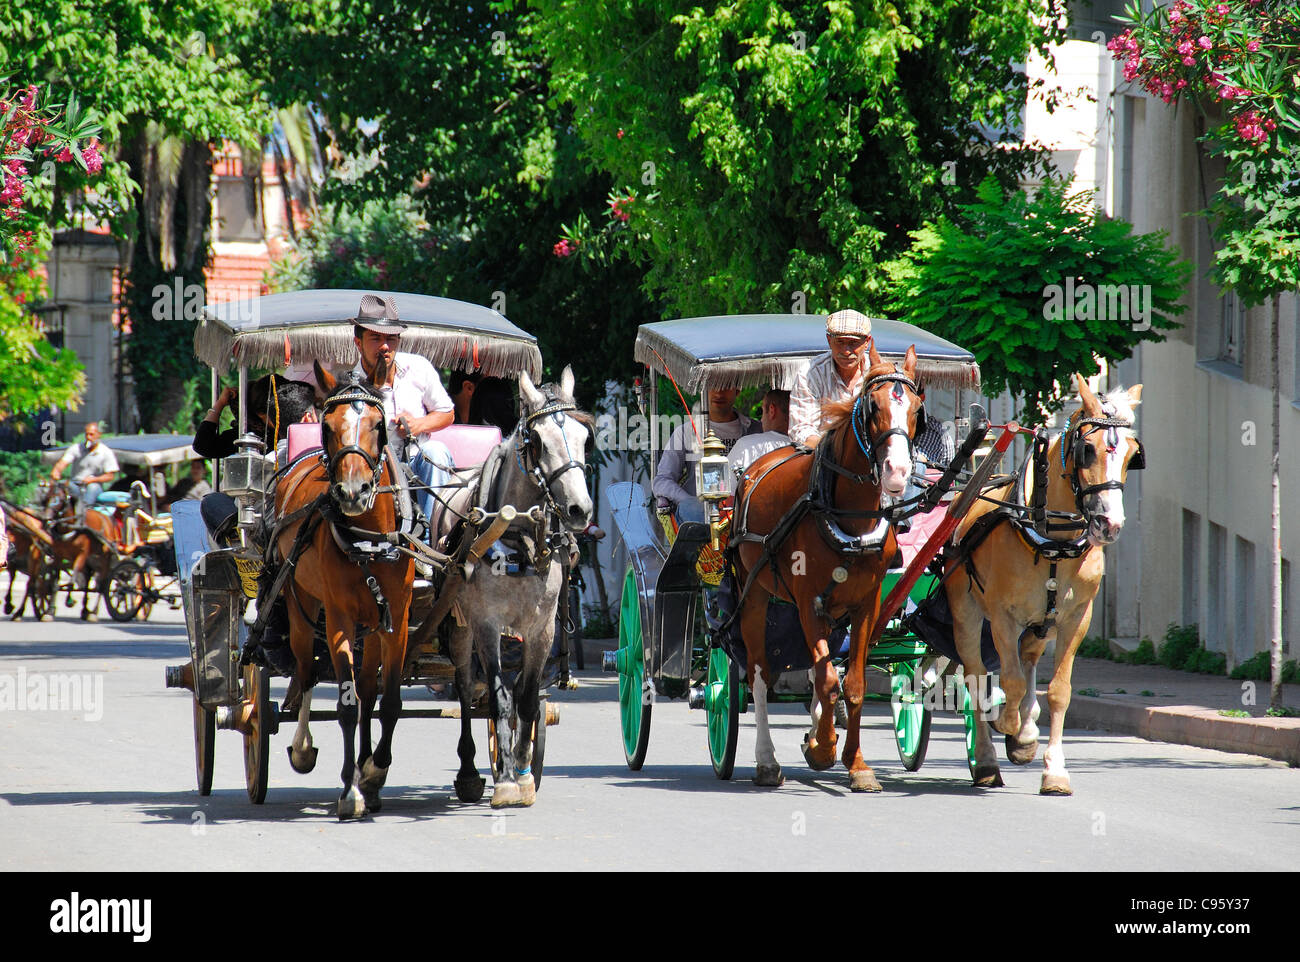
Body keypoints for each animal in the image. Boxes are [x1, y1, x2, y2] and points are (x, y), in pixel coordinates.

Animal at [273, 358, 410, 821]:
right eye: (328, 426)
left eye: (378, 425)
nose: (352, 492)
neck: (367, 538)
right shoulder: (339, 617)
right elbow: (346, 706)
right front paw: (351, 790)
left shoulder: (397, 618)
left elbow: (387, 702)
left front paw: (374, 770)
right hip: (300, 604)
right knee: (306, 670)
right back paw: (302, 747)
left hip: (375, 622)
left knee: (367, 688)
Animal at [733, 340, 925, 790]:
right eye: (872, 407)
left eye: (916, 409)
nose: (897, 472)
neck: (846, 515)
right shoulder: (809, 602)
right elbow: (826, 680)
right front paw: (822, 748)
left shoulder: (866, 604)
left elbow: (850, 684)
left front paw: (855, 763)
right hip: (753, 595)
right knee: (759, 674)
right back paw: (767, 760)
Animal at [946, 377, 1149, 795]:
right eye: (1088, 450)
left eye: (1132, 454)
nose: (1110, 525)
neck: (1050, 538)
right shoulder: (1002, 616)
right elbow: (1007, 681)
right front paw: (1008, 725)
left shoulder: (1076, 618)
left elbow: (1058, 692)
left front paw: (1052, 768)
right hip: (966, 613)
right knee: (976, 676)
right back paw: (987, 760)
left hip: (1042, 623)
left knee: (1028, 659)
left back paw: (1023, 731)